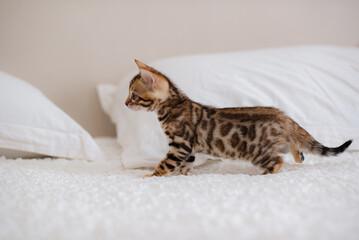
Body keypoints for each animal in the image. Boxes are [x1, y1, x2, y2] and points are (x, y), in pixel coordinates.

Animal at [126, 59, 354, 176]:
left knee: (278, 160)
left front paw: (152, 176)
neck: (174, 103)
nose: (126, 103)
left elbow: (166, 163)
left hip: (257, 152)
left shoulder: (180, 144)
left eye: (134, 95)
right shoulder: (188, 148)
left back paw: (266, 175)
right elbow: (186, 163)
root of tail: (284, 117)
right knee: (296, 149)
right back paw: (298, 155)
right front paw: (184, 174)